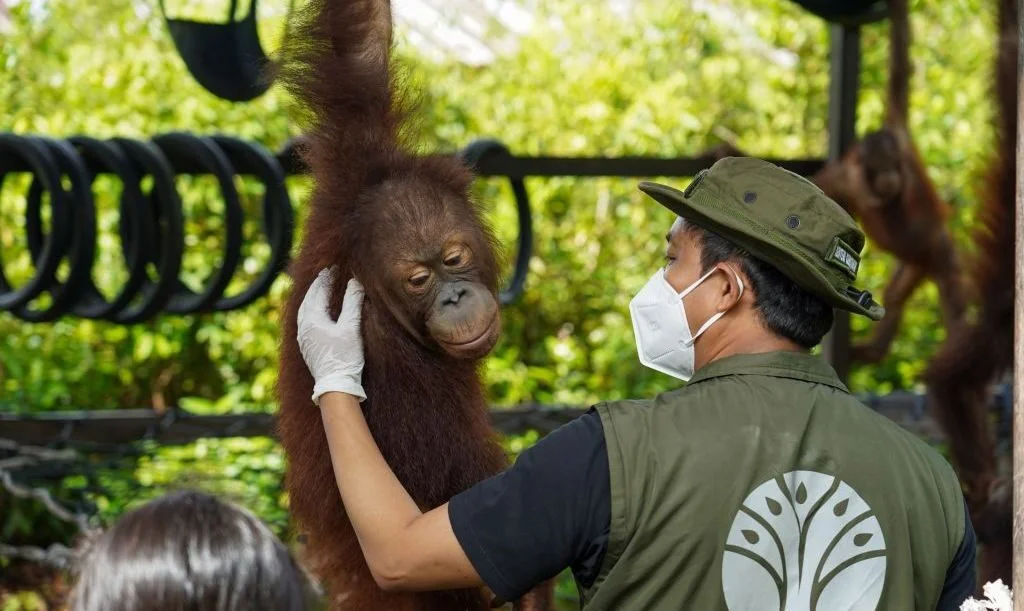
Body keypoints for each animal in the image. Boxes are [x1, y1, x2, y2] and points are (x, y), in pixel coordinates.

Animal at [272, 0, 554, 609]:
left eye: (454, 257)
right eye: (419, 279)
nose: (454, 295)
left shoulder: (354, 172)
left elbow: (358, 47)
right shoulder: (397, 376)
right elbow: (432, 527)